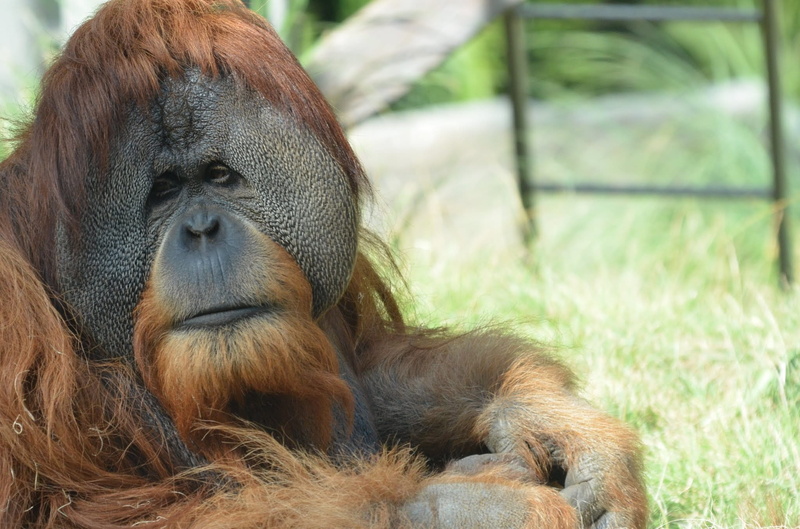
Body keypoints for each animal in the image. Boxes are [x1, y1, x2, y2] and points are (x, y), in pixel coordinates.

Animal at [0, 0, 647, 527]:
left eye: (218, 176)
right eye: (162, 191)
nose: (202, 228)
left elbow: (367, 360)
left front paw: (551, 422)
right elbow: (78, 511)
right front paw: (474, 509)